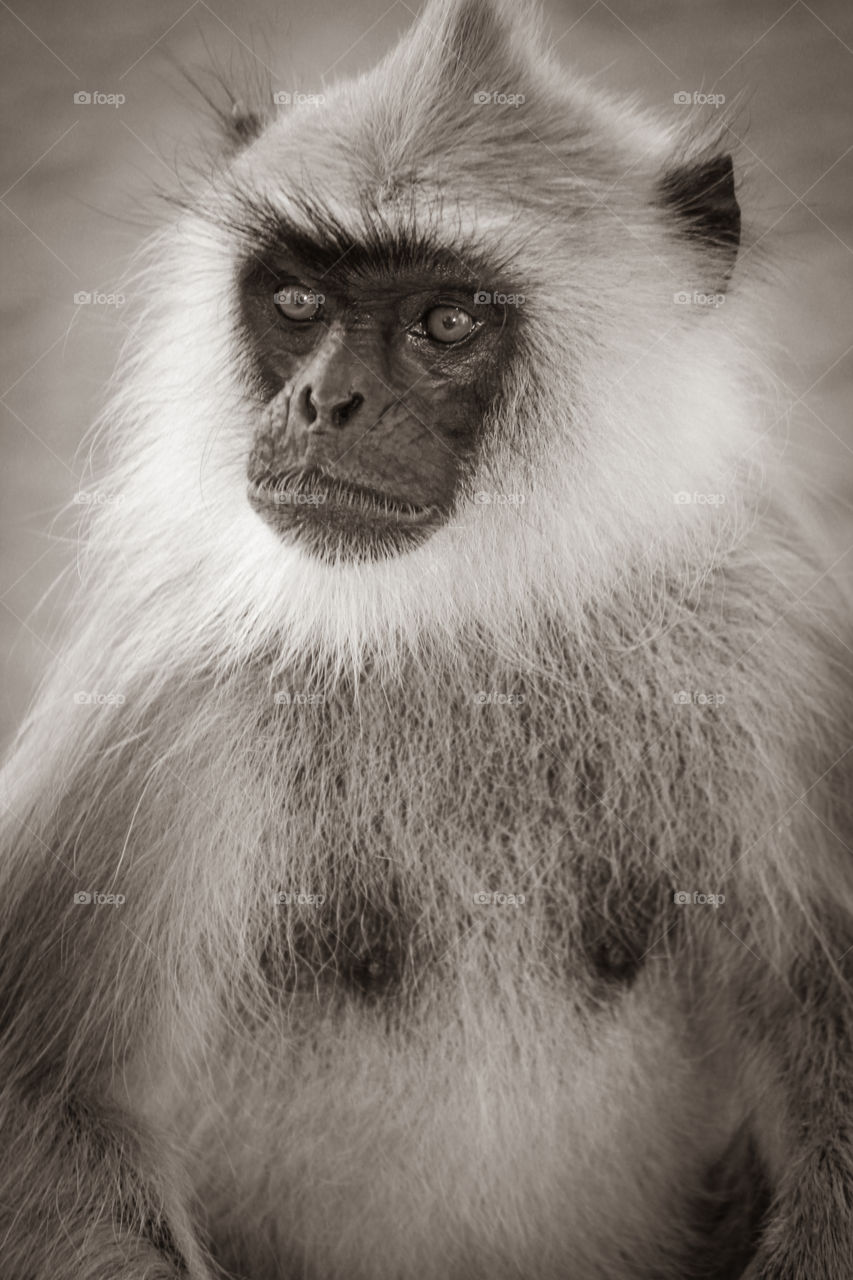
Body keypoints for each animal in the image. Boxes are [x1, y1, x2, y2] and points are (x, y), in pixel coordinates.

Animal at [1, 0, 851, 1277]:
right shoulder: (163, 685)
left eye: (445, 319)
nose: (323, 403)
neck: (465, 606)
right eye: (298, 301)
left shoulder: (774, 649)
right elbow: (54, 1118)